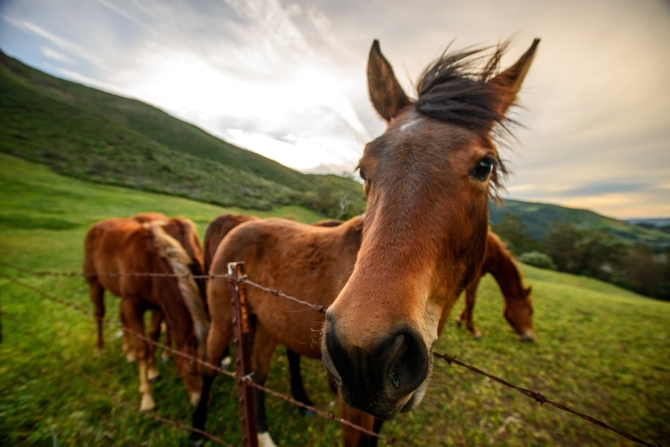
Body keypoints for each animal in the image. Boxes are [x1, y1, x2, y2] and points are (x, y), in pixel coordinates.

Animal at [84, 219, 210, 412]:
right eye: (191, 372)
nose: (200, 405)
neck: (151, 265)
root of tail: (97, 225)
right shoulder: (133, 305)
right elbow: (142, 348)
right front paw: (147, 399)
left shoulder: (158, 305)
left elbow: (153, 336)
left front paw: (153, 372)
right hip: (95, 285)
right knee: (99, 315)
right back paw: (99, 350)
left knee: (121, 317)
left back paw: (128, 353)